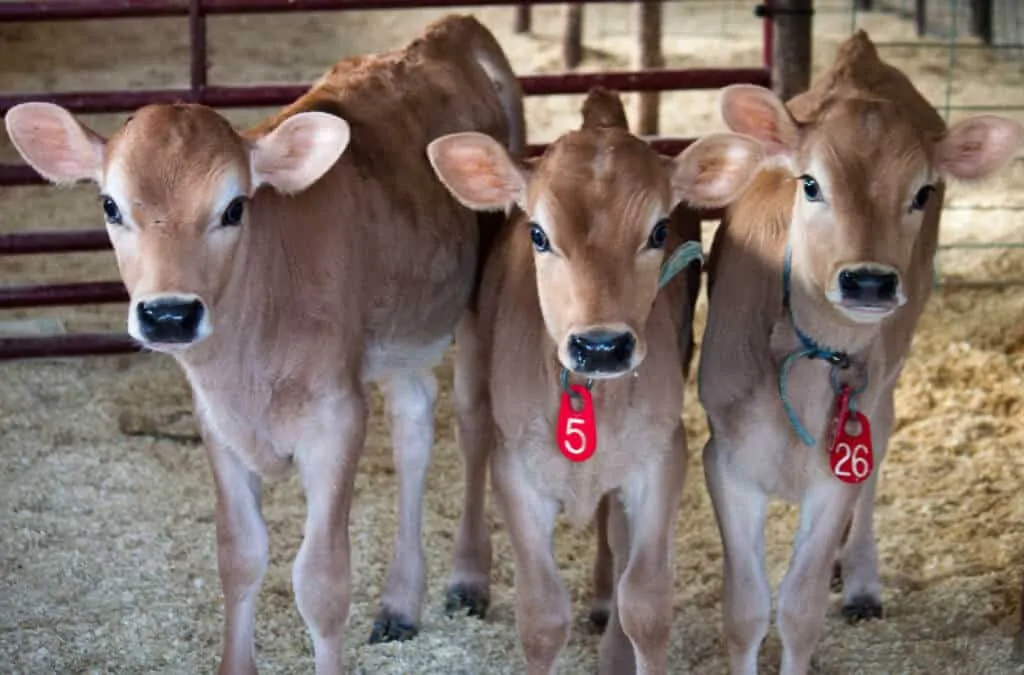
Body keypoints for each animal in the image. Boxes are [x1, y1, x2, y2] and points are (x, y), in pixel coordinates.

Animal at [4, 15, 524, 675]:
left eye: (234, 208)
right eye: (110, 205)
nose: (168, 314)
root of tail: (448, 28)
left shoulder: (336, 419)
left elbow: (321, 583)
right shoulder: (218, 424)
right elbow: (239, 558)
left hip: (484, 290)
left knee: (474, 421)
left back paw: (468, 579)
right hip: (403, 325)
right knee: (414, 420)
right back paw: (401, 601)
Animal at [421, 87, 761, 671]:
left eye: (658, 230)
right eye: (538, 234)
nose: (601, 345)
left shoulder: (660, 458)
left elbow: (646, 605)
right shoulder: (517, 472)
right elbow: (541, 619)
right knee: (472, 435)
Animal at [696, 27, 1024, 675]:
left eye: (922, 192)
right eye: (811, 184)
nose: (869, 282)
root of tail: (860, 54)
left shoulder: (837, 473)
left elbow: (797, 611)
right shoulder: (724, 457)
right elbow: (745, 610)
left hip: (889, 378)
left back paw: (860, 581)